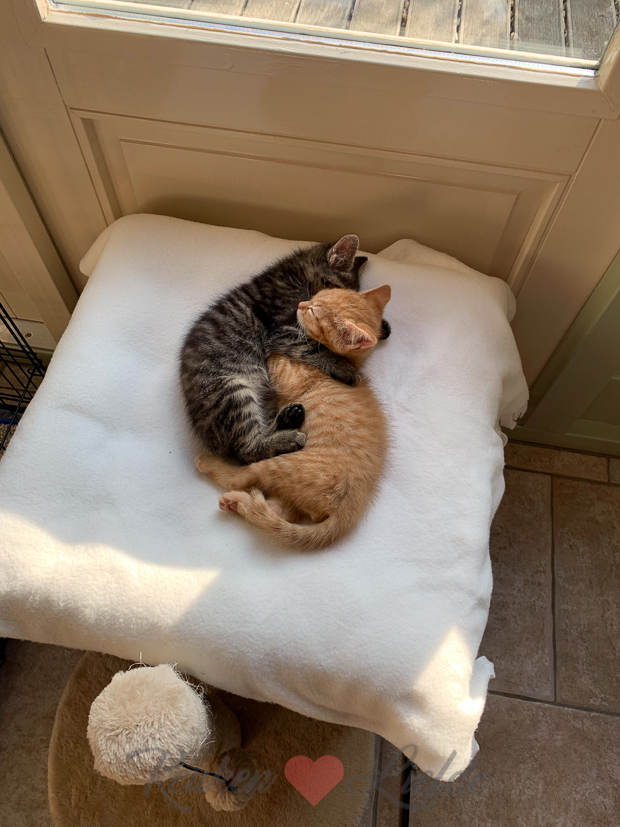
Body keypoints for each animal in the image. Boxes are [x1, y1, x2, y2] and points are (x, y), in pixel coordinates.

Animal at [180, 235, 370, 465]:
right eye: (335, 293)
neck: (295, 276)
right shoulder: (279, 330)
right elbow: (312, 347)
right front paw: (344, 366)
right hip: (231, 391)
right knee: (247, 451)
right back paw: (288, 438)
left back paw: (288, 418)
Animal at [195, 284, 391, 551]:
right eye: (318, 294)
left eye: (314, 312)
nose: (300, 304)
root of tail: (349, 509)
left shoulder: (284, 371)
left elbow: (276, 351)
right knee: (275, 513)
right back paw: (238, 504)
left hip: (280, 464)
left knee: (242, 475)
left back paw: (209, 465)